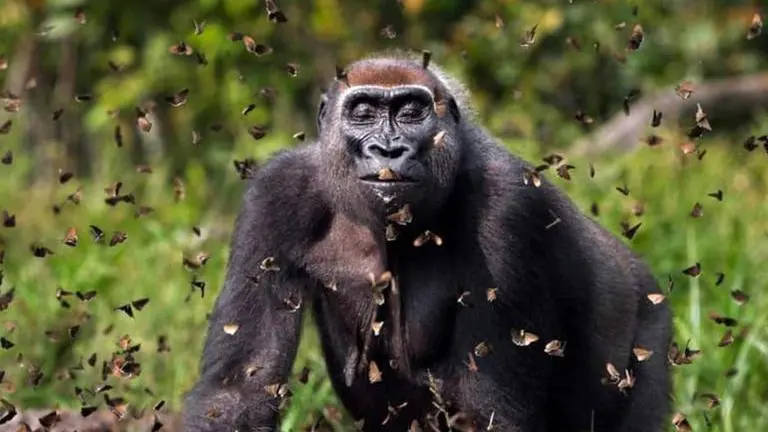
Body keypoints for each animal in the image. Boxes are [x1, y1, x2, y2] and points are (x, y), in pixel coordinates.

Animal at [181, 52, 672, 432]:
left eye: (411, 111)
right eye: (363, 112)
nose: (388, 149)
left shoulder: (509, 206)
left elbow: (487, 410)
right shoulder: (277, 193)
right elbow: (238, 392)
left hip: (650, 321)